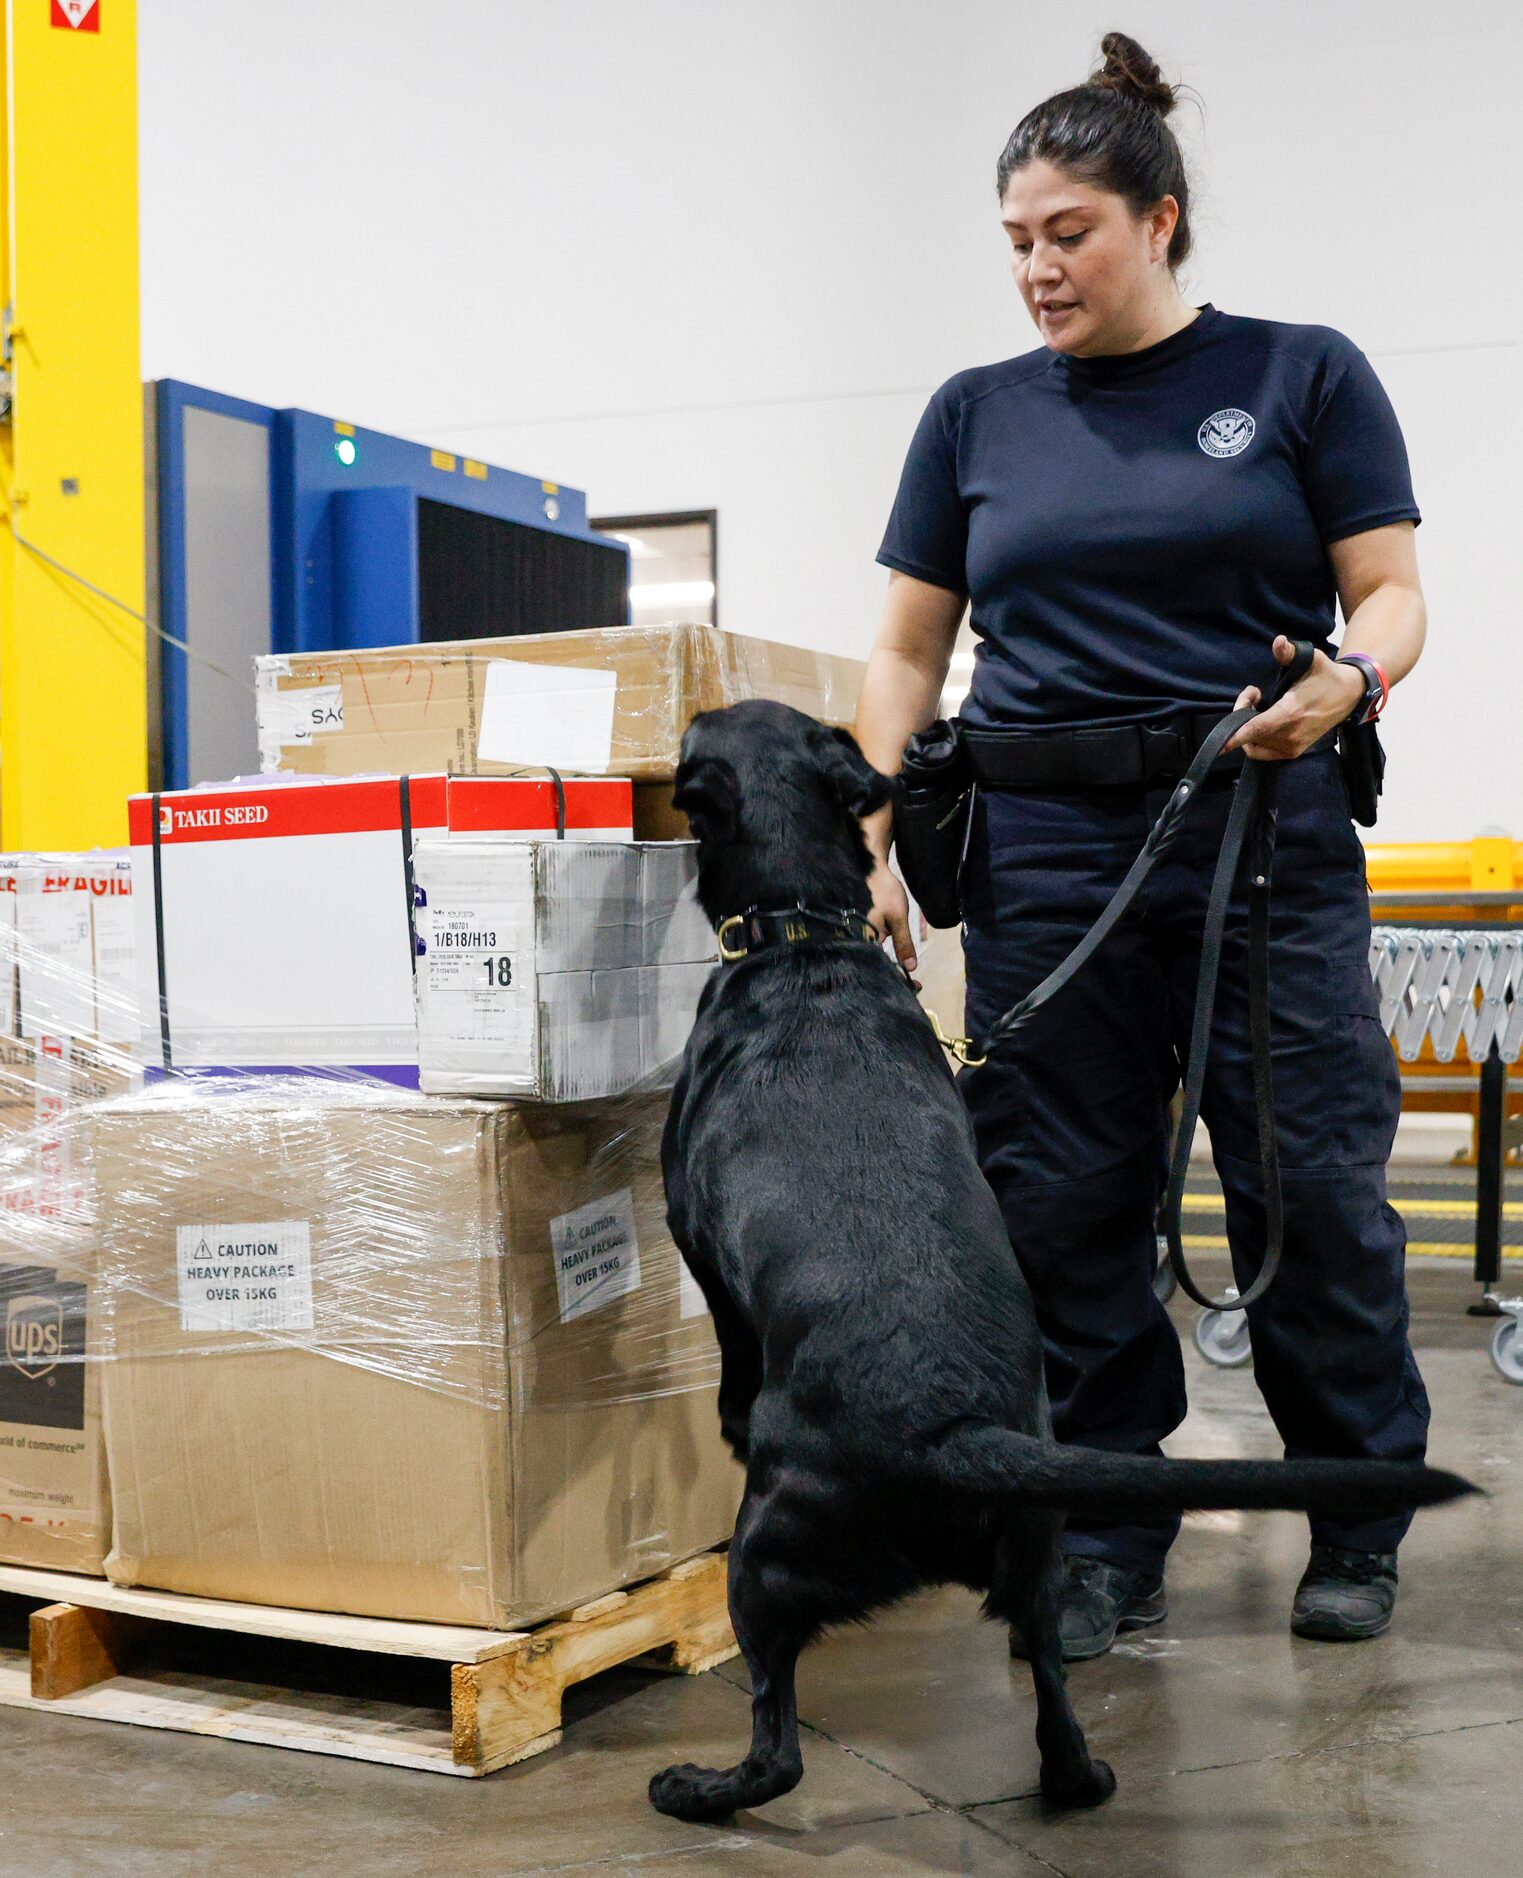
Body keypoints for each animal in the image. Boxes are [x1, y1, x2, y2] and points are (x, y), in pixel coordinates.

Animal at [657, 702, 1479, 1817]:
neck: (802, 938)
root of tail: (951, 1433)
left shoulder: (691, 1236)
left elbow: (730, 1339)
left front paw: (726, 1415)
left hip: (761, 1557)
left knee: (777, 1744)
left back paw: (698, 1788)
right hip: (1036, 1559)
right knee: (1053, 1703)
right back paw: (1080, 1775)